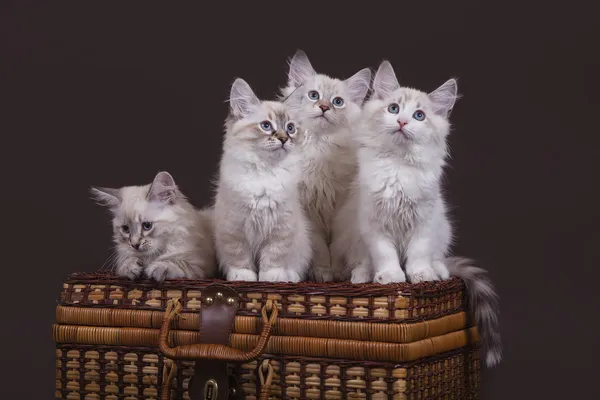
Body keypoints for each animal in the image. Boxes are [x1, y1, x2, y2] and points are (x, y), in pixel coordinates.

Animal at [213, 78, 312, 282]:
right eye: (266, 126)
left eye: (290, 128)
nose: (284, 139)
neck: (265, 170)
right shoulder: (234, 226)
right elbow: (239, 255)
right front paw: (243, 276)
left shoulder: (281, 227)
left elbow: (274, 256)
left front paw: (272, 277)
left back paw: (290, 277)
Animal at [278, 49, 372, 282]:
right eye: (314, 95)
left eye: (337, 102)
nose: (324, 107)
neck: (319, 147)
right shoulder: (309, 211)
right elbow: (319, 247)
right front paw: (322, 273)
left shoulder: (341, 211)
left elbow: (337, 247)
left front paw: (337, 272)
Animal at [330, 61, 504, 366]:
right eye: (394, 109)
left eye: (419, 116)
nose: (402, 122)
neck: (399, 167)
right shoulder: (374, 223)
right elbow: (385, 254)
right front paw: (390, 276)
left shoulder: (424, 220)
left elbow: (419, 252)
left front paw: (420, 274)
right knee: (360, 260)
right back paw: (362, 275)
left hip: (443, 226)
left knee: (439, 257)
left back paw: (437, 270)